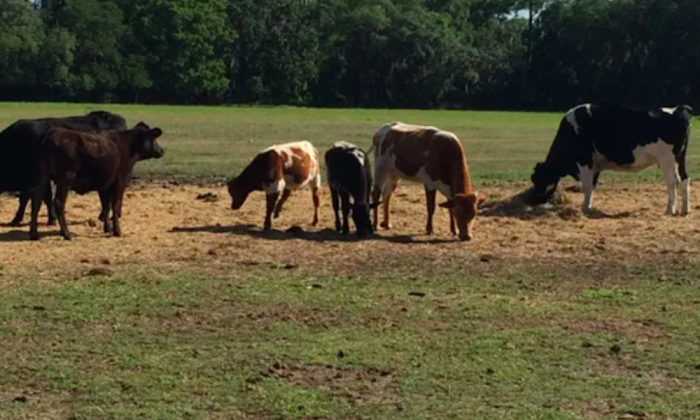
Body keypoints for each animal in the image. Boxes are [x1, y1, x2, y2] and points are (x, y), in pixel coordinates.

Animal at [528, 103, 692, 215]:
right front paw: (589, 206)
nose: (533, 201)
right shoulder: (595, 165)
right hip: (679, 159)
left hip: (667, 160)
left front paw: (585, 207)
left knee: (672, 182)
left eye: (537, 179)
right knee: (684, 179)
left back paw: (670, 210)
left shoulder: (585, 161)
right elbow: (592, 185)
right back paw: (685, 209)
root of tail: (678, 109)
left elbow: (586, 186)